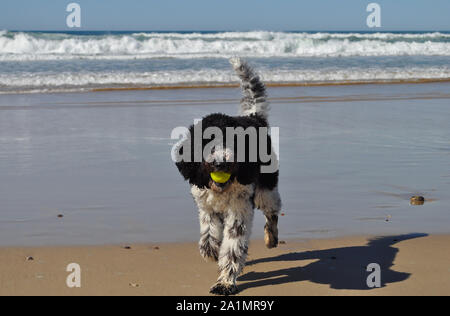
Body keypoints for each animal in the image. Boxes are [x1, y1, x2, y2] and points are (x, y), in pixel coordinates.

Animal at [175, 58, 282, 296]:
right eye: (207, 141)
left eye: (234, 141)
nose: (220, 163)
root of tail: (255, 117)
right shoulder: (206, 207)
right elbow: (208, 236)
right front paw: (211, 251)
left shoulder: (239, 211)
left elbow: (233, 247)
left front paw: (225, 282)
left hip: (266, 191)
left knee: (272, 214)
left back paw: (271, 238)